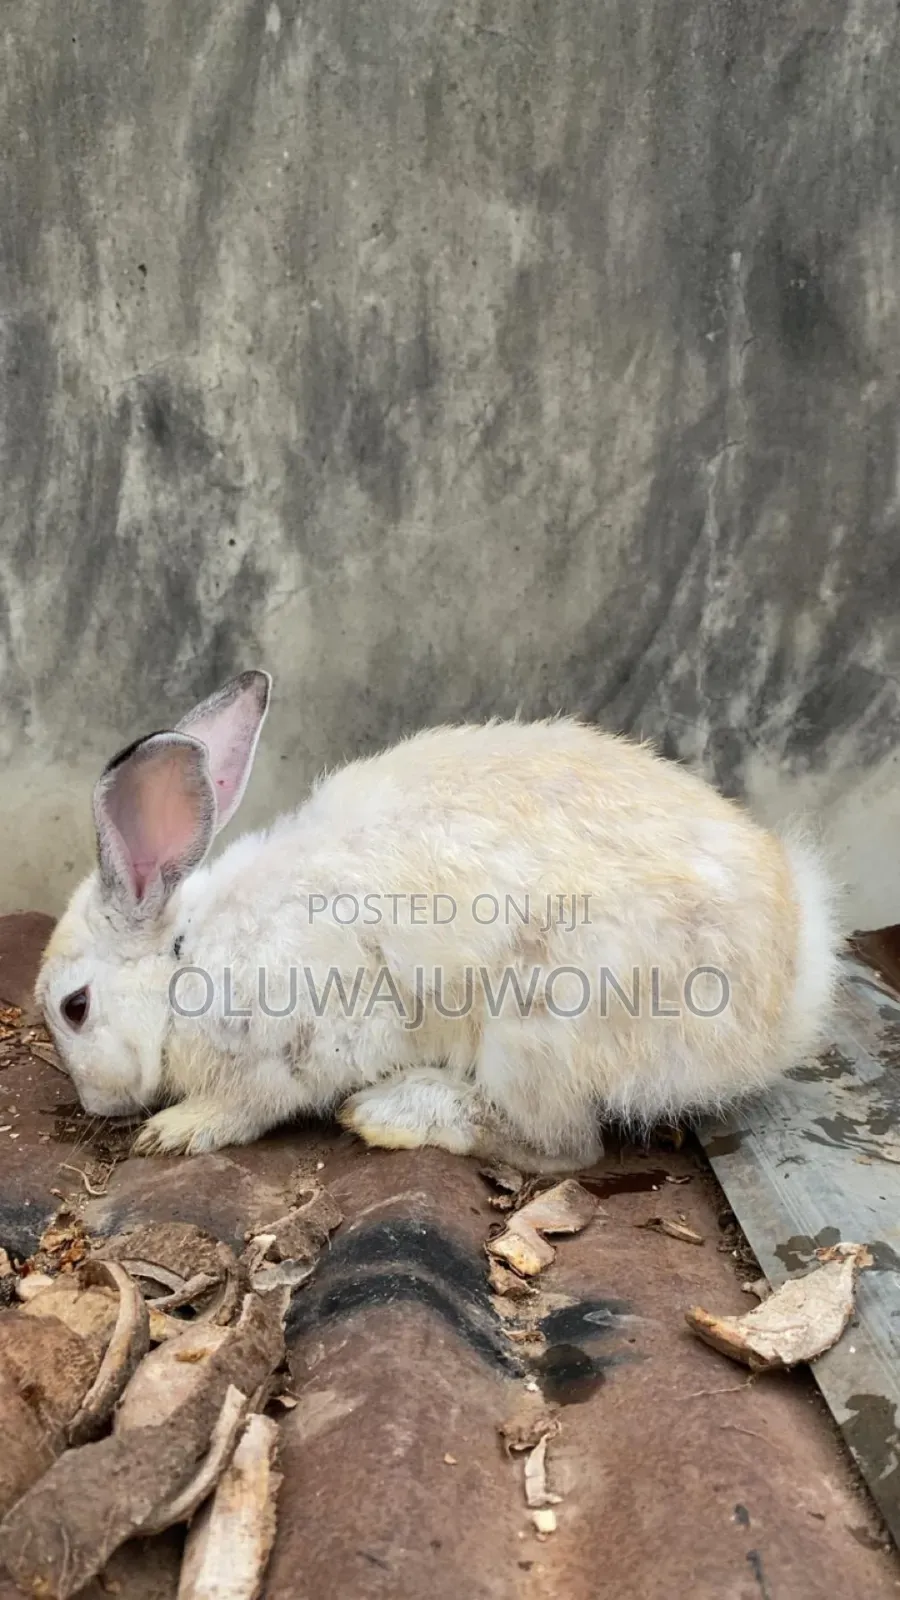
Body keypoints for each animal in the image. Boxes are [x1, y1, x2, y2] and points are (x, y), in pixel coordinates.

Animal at [35, 669, 841, 1171]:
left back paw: (390, 1113)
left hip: (541, 1024)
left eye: (75, 1009)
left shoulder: (306, 1038)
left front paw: (176, 1131)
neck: (187, 952)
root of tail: (784, 1005)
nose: (99, 1104)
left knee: (563, 1146)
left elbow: (253, 1103)